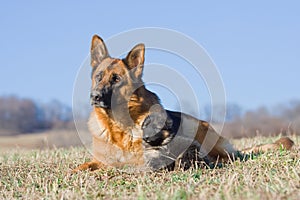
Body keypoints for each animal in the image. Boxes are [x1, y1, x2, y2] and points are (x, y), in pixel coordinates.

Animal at [72, 34, 292, 172]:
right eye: (99, 76)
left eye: (116, 79)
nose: (94, 96)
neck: (116, 127)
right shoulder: (100, 159)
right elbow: (84, 166)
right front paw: (74, 171)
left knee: (223, 157)